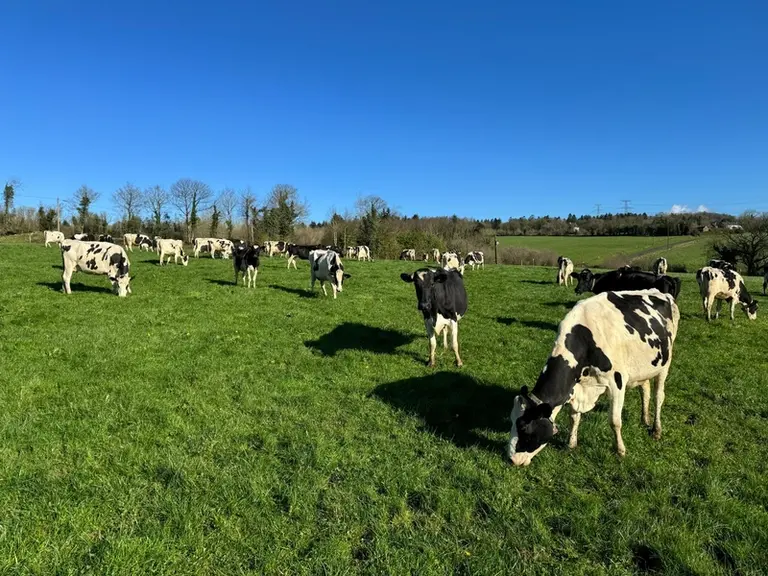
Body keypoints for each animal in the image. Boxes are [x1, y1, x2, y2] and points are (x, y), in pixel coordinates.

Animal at [507, 289, 680, 466]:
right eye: (511, 421)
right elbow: (573, 417)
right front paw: (571, 444)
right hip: (643, 367)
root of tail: (660, 292)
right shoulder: (576, 387)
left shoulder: (617, 382)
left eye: (524, 428)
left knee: (659, 397)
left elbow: (614, 421)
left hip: (665, 364)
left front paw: (620, 450)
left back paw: (656, 430)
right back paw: (645, 419)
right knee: (645, 389)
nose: (512, 459)